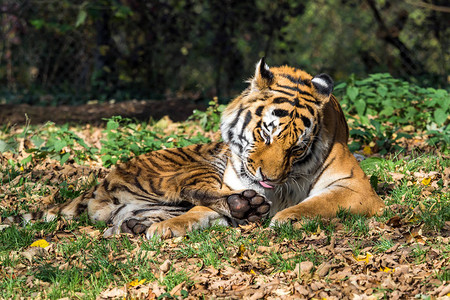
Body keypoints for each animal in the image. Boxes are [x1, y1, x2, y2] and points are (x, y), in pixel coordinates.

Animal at [7, 58, 384, 237]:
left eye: (296, 149)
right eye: (265, 134)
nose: (270, 180)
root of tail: (98, 183)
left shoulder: (356, 187)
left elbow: (319, 202)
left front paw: (287, 216)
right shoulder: (236, 184)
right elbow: (203, 209)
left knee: (120, 221)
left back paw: (136, 227)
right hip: (192, 168)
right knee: (194, 194)